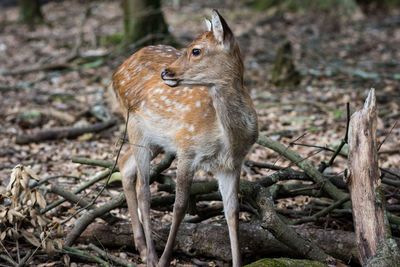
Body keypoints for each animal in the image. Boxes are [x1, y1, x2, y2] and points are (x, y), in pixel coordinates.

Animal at [111, 9, 258, 266]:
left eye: (196, 50)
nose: (165, 72)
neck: (228, 138)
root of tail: (116, 71)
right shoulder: (187, 148)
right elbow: (179, 206)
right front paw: (164, 260)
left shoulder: (232, 164)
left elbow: (232, 211)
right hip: (134, 124)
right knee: (143, 189)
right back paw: (151, 255)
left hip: (157, 140)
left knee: (125, 163)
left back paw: (141, 247)